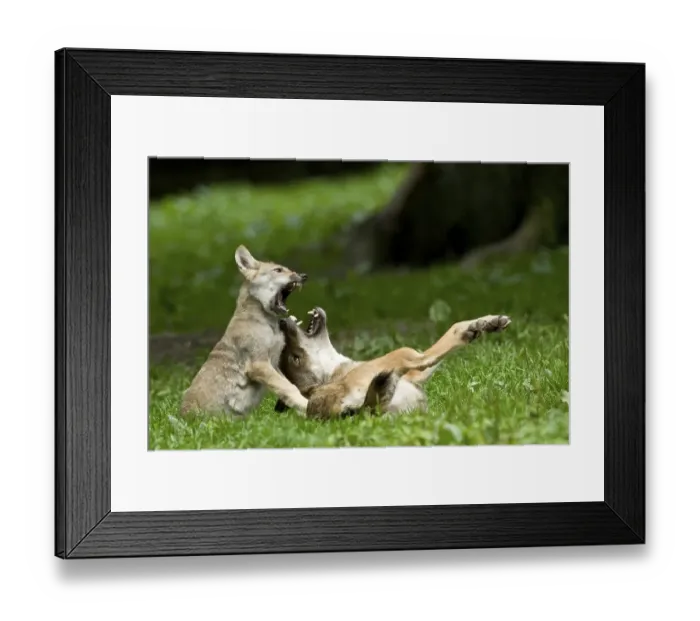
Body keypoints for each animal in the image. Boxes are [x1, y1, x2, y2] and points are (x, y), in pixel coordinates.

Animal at [180, 245, 310, 417]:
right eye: (278, 270)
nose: (304, 276)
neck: (268, 324)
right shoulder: (259, 364)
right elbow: (289, 388)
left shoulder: (274, 363)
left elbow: (288, 388)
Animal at [274, 307, 511, 419]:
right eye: (295, 358)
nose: (282, 322)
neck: (334, 372)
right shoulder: (411, 358)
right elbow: (450, 333)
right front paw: (483, 324)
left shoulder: (416, 375)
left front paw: (485, 324)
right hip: (402, 363)